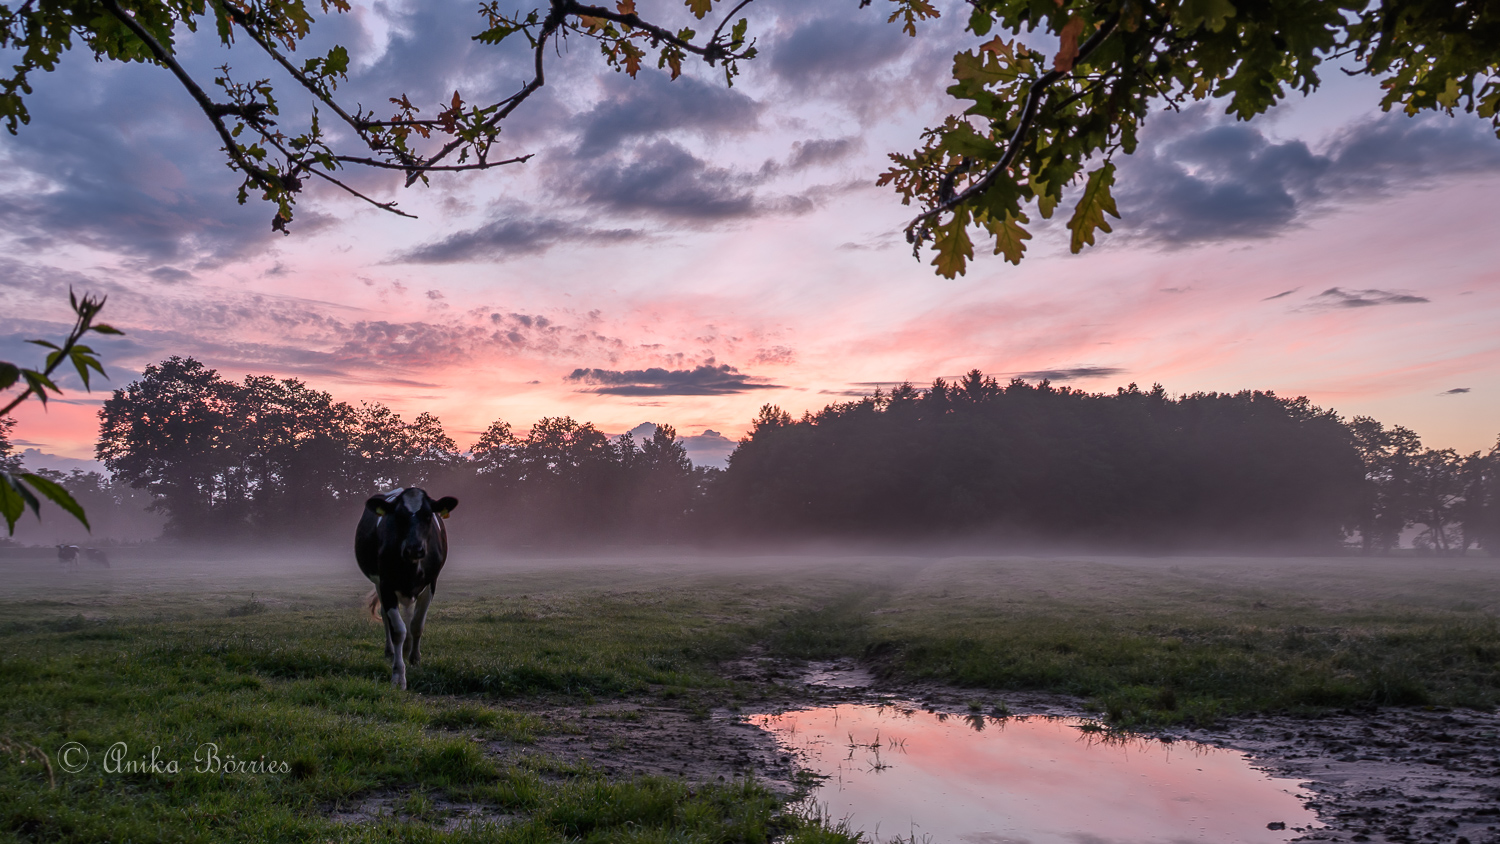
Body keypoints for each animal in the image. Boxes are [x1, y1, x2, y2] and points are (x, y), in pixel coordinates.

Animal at [355, 485, 456, 689]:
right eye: (399, 516)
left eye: (428, 515)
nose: (414, 548)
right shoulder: (386, 584)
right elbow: (397, 630)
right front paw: (398, 676)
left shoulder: (431, 583)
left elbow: (417, 624)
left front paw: (415, 658)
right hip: (379, 584)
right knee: (387, 617)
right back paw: (391, 651)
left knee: (410, 612)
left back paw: (409, 646)